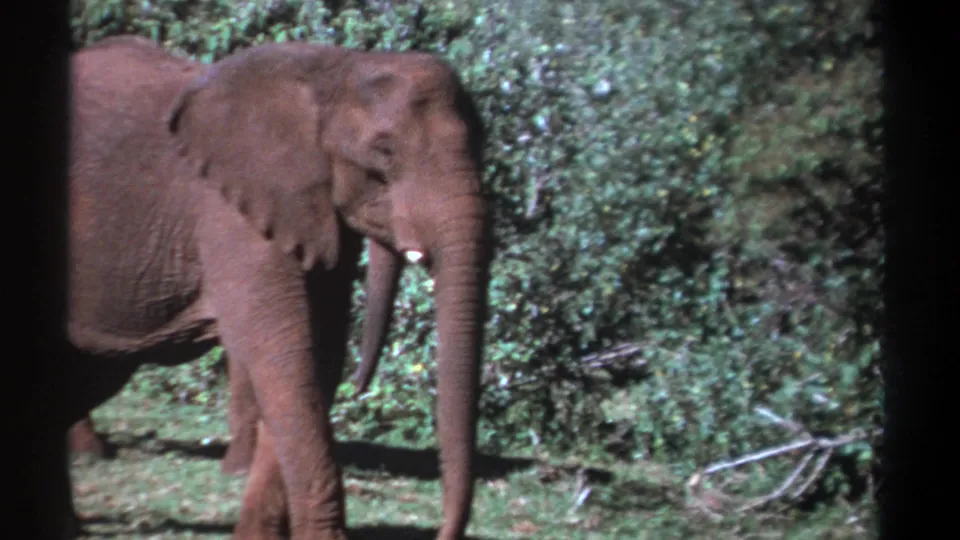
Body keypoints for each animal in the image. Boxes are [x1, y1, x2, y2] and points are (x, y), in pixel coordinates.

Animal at [60, 34, 490, 540]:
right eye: (383, 153)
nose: (442, 531)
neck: (333, 71)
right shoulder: (230, 211)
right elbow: (283, 355)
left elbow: (317, 357)